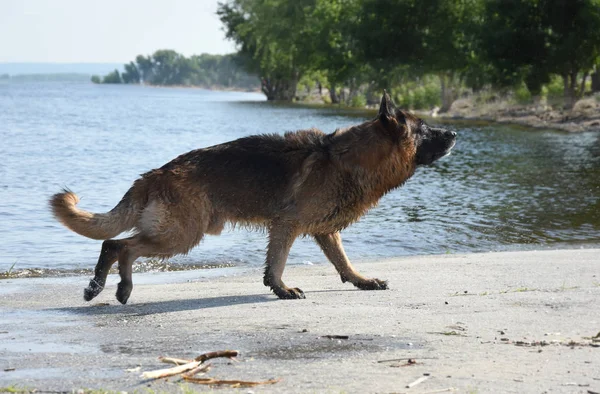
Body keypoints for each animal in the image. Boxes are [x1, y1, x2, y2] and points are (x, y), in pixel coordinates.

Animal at [50, 91, 454, 304]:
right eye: (425, 129)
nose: (452, 133)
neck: (350, 159)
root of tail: (154, 174)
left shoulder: (324, 231)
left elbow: (343, 263)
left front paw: (361, 280)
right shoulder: (287, 226)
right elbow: (277, 263)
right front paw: (282, 288)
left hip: (176, 234)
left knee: (119, 246)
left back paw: (108, 287)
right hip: (181, 236)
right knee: (119, 246)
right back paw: (113, 286)